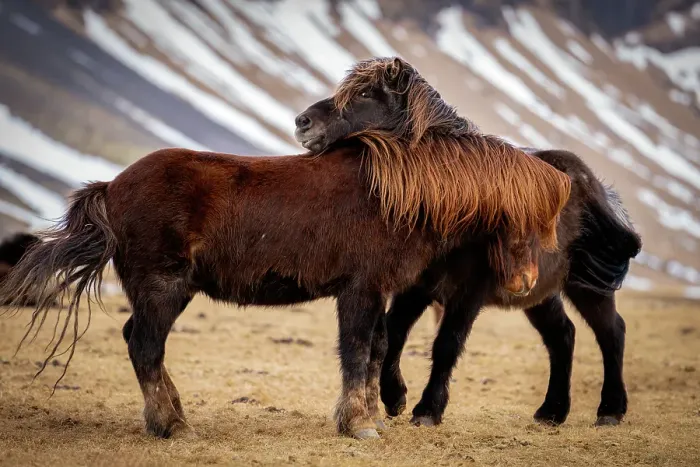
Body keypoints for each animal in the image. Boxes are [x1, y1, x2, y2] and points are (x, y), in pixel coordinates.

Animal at [0, 131, 569, 440]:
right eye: (516, 214)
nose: (526, 282)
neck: (395, 196)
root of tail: (113, 186)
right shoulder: (360, 290)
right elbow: (358, 350)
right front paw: (360, 424)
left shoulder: (376, 292)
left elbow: (378, 348)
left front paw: (371, 418)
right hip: (165, 289)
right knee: (144, 347)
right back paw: (175, 427)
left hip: (166, 293)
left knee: (139, 344)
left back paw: (169, 418)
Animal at [294, 56, 642, 427]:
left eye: (363, 94)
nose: (302, 122)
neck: (453, 204)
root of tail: (594, 185)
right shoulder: (416, 286)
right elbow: (393, 332)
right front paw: (395, 397)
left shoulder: (468, 292)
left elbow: (446, 344)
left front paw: (427, 409)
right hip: (539, 293)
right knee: (563, 335)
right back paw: (552, 411)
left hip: (588, 285)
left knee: (611, 333)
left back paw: (610, 410)